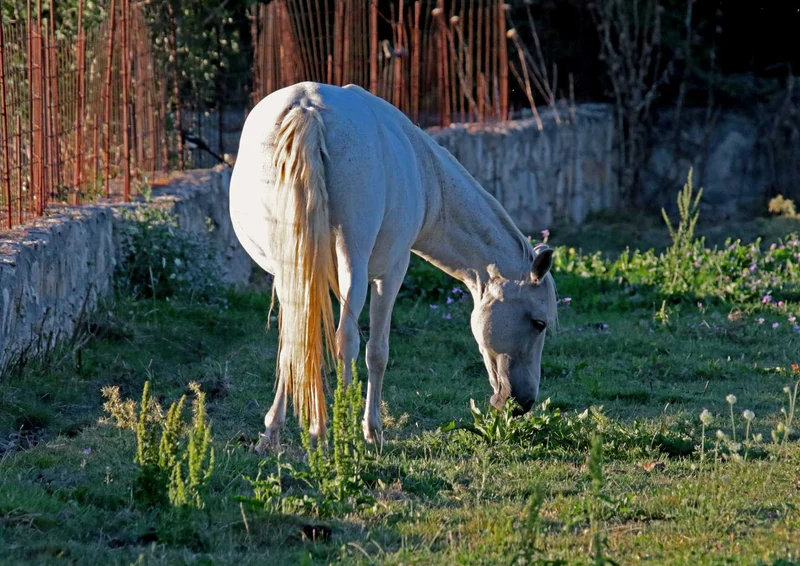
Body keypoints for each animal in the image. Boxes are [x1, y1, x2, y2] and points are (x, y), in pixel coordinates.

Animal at [229, 82, 557, 452]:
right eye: (539, 323)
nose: (523, 403)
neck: (428, 177)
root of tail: (307, 108)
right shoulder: (391, 272)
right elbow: (377, 352)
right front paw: (372, 431)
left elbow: (296, 342)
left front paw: (273, 432)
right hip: (353, 267)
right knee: (347, 340)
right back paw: (338, 435)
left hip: (293, 267)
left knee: (297, 339)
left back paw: (280, 435)